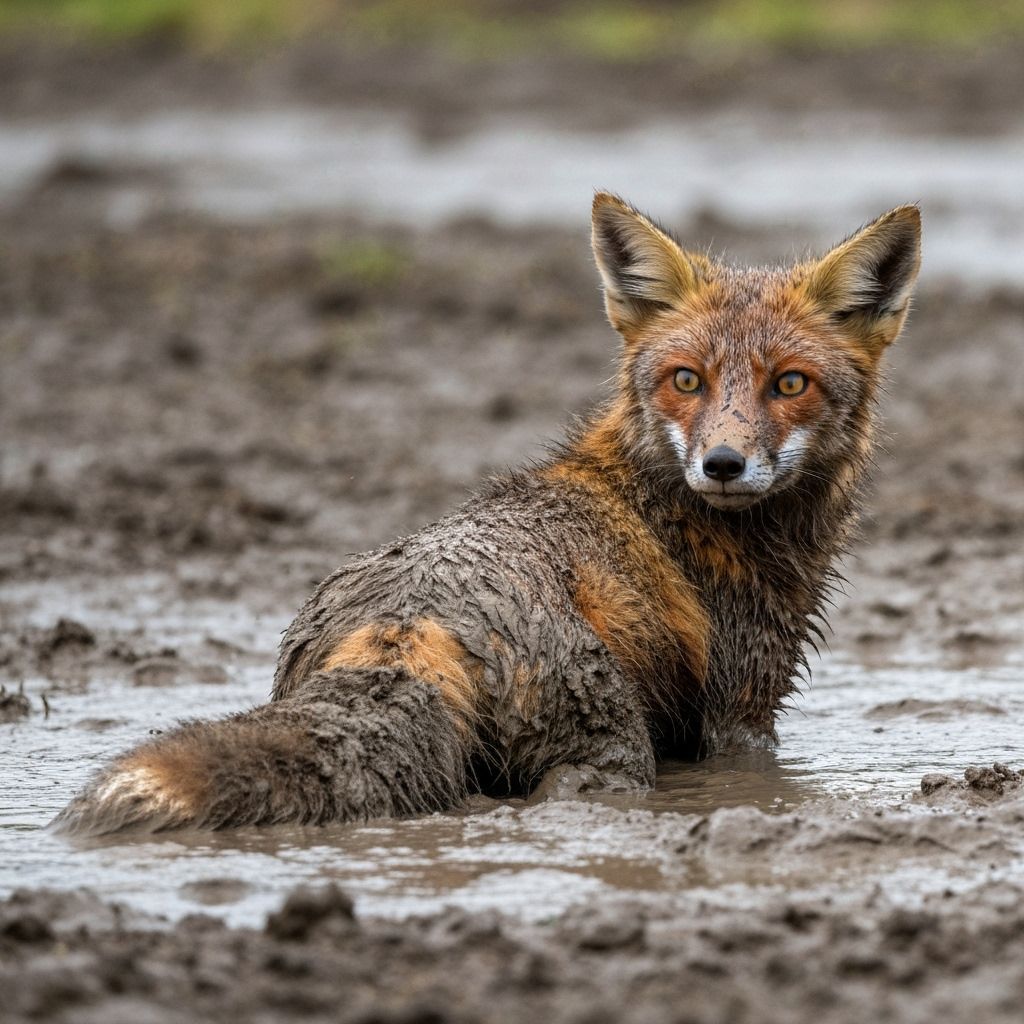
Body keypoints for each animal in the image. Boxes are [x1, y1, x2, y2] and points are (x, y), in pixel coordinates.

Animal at [53, 194, 921, 835]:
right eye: (686, 380)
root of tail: (404, 622)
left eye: (789, 384)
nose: (724, 464)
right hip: (612, 752)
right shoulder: (738, 715)